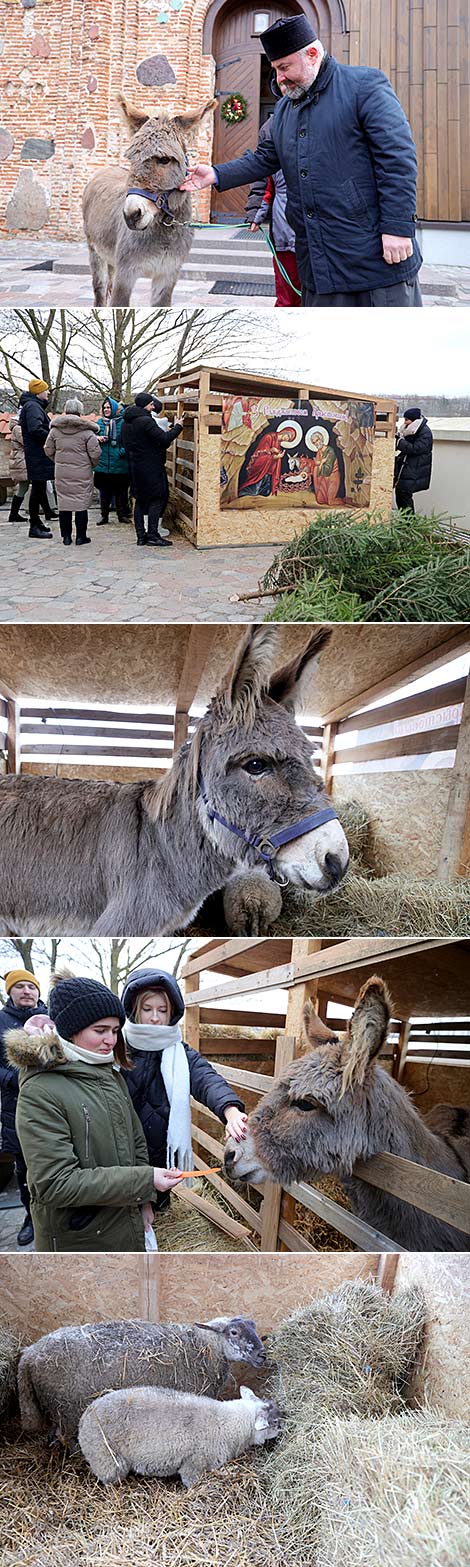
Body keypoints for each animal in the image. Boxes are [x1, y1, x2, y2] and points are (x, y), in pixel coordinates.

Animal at [16, 1310, 266, 1441]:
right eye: (233, 1332)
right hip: (65, 1408)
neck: (207, 1346)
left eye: (253, 1326)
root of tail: (29, 1355)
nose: (262, 1354)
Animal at [79, 1385, 282, 1479]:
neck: (227, 1423)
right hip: (106, 1459)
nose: (283, 1427)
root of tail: (83, 1421)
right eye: (274, 1422)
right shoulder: (195, 1464)